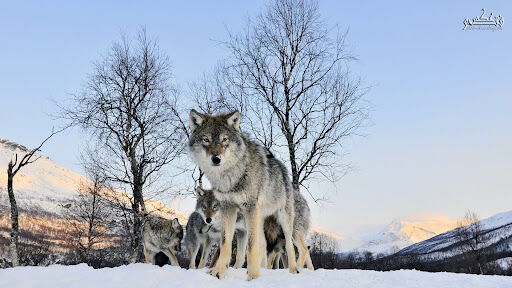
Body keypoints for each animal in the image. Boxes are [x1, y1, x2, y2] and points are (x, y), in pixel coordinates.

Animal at [188, 109, 300, 280]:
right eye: (206, 140)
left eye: (224, 139)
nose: (216, 158)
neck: (230, 176)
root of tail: (282, 167)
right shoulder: (228, 208)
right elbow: (225, 244)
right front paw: (218, 272)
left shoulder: (249, 207)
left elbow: (251, 246)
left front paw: (253, 276)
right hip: (258, 219)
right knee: (263, 244)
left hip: (283, 219)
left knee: (289, 245)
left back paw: (293, 270)